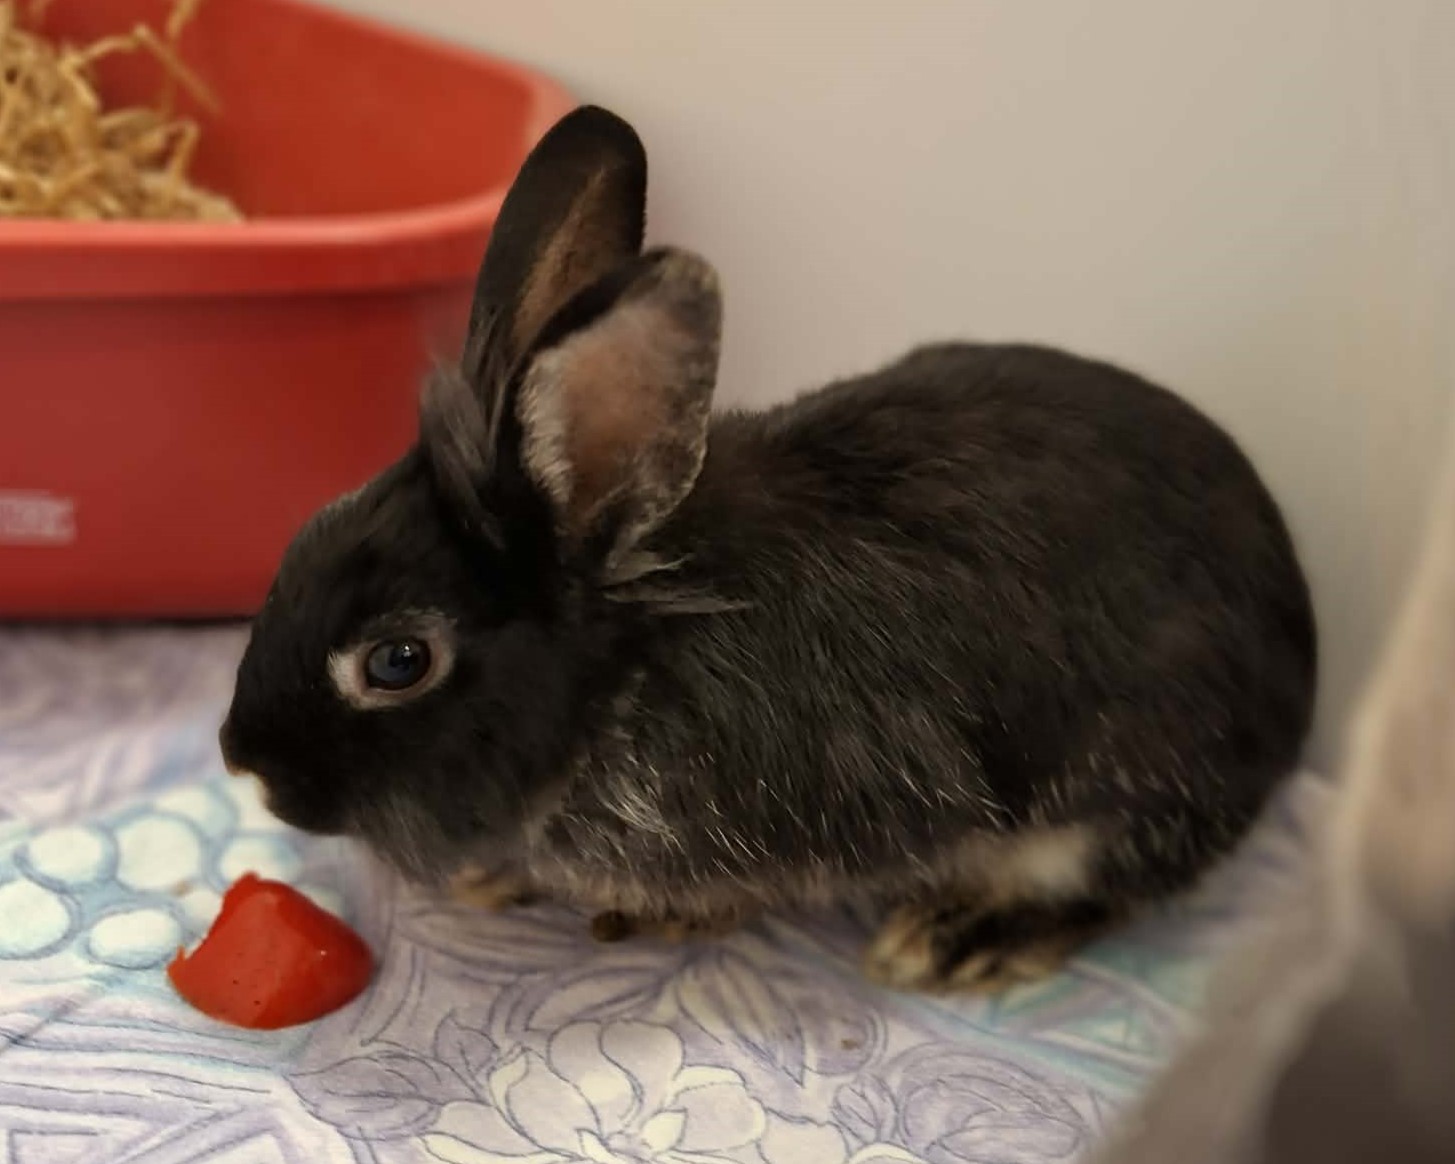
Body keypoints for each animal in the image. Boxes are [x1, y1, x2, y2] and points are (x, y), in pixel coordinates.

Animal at [219, 104, 1317, 992]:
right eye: (307, 530)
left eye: (397, 661)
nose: (242, 763)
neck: (628, 657)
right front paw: (495, 875)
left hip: (1125, 797)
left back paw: (958, 938)